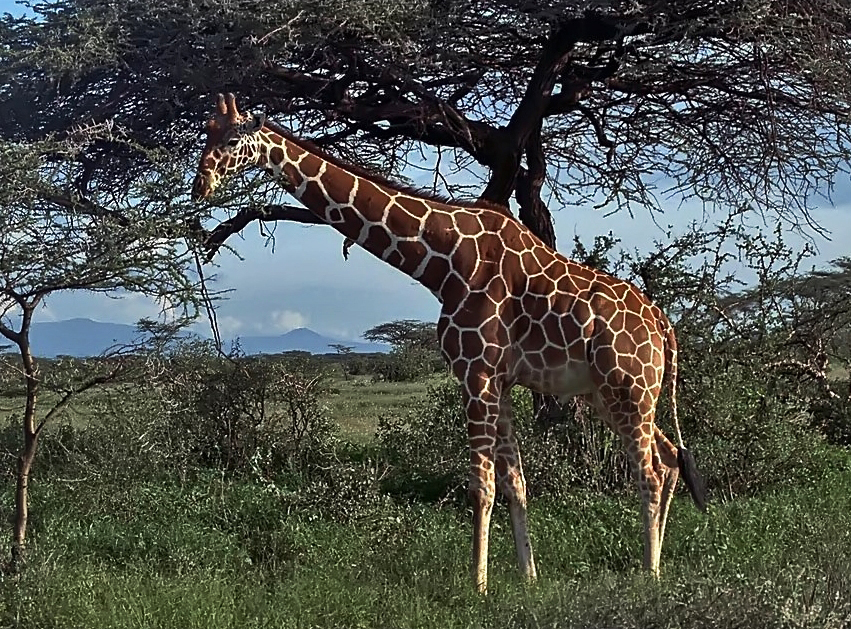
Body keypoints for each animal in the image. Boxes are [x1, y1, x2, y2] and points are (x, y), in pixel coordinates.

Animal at [191, 93, 704, 592]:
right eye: (206, 133)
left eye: (234, 139)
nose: (201, 184)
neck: (444, 262)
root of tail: (663, 324)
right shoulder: (500, 381)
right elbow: (515, 482)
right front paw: (528, 577)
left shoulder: (476, 372)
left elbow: (481, 486)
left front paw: (477, 587)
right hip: (611, 393)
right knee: (670, 460)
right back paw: (654, 563)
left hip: (629, 386)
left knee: (649, 471)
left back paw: (649, 574)